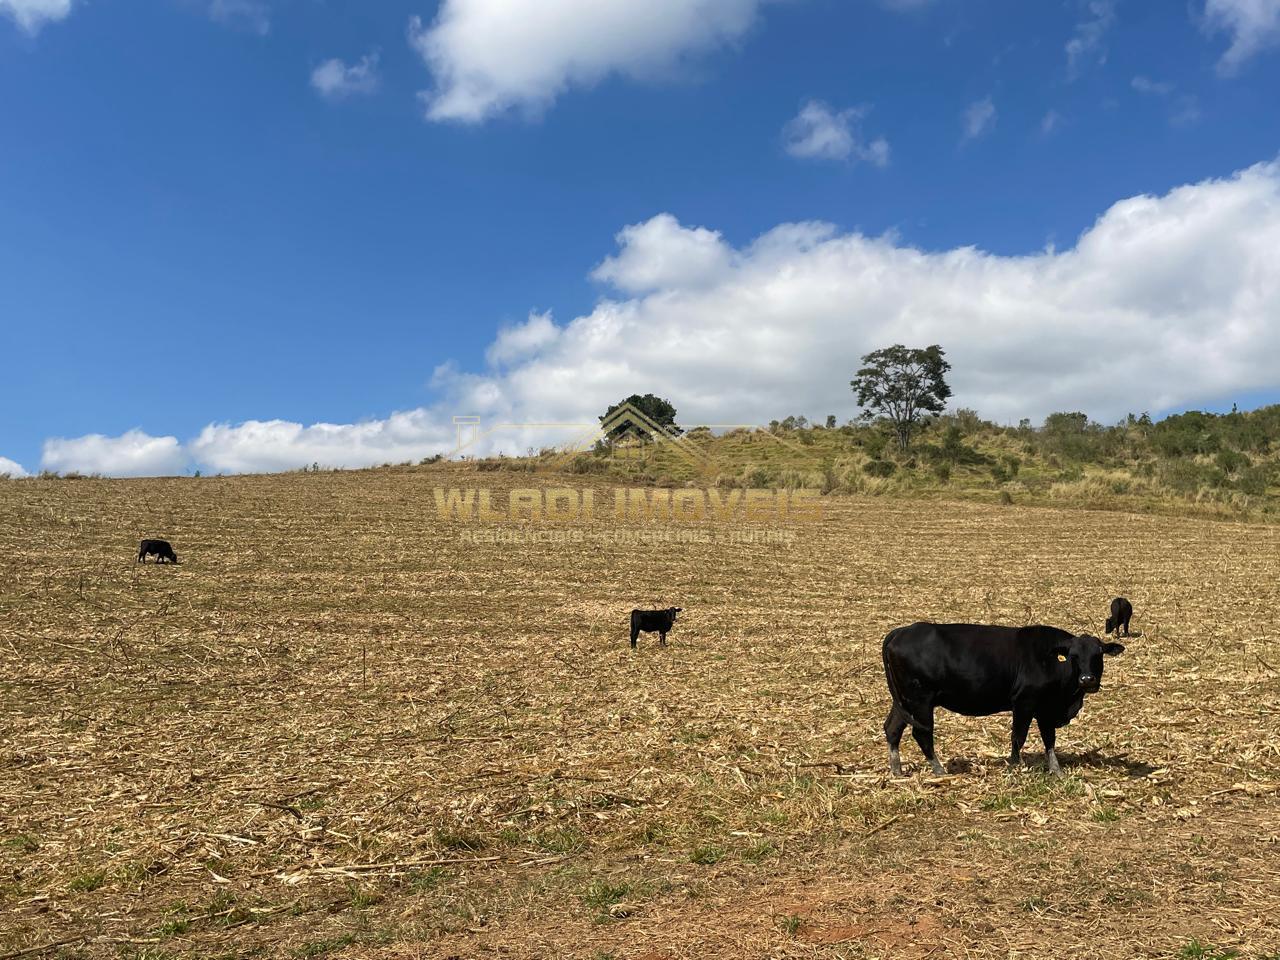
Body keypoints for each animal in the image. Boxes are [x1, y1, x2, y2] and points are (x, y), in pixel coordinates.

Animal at [880, 627, 1121, 778]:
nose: (1087, 679)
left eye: (1099, 654)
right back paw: (939, 771)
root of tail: (902, 631)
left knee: (893, 729)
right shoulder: (1024, 702)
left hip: (904, 701)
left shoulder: (1045, 709)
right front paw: (1016, 766)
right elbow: (1018, 737)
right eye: (1073, 655)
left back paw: (897, 771)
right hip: (921, 700)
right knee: (922, 734)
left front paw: (1056, 770)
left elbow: (1049, 740)